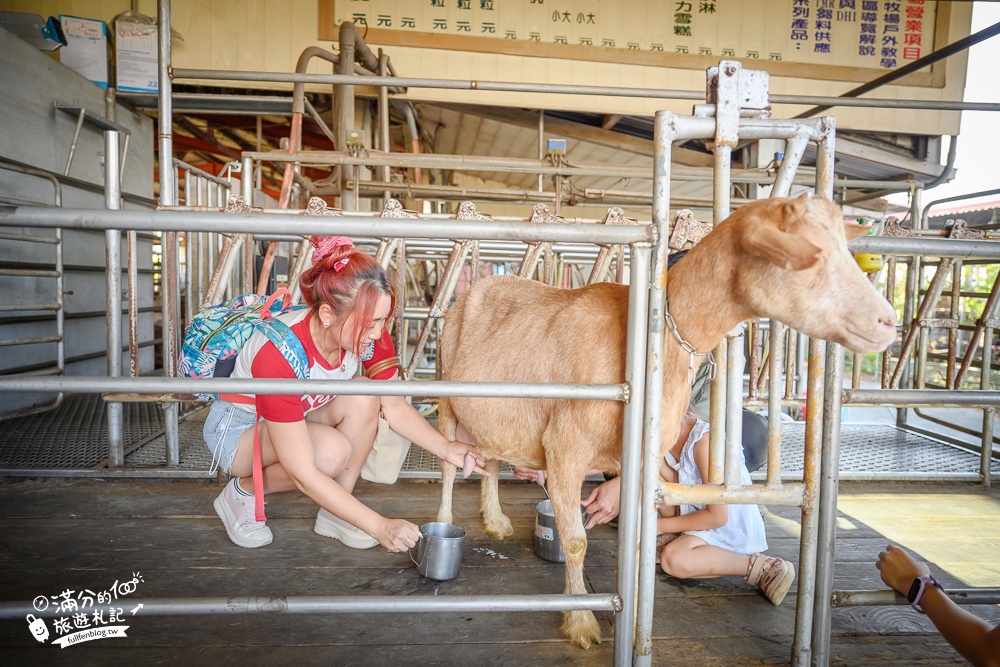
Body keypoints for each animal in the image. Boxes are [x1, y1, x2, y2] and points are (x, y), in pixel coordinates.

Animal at [434, 196, 896, 648]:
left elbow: (637, 535)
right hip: (446, 397)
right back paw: (445, 521)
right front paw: (582, 622)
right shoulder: (565, 448)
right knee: (448, 466)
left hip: (493, 413)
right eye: (803, 252)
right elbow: (577, 541)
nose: (887, 321)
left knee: (492, 457)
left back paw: (495, 520)